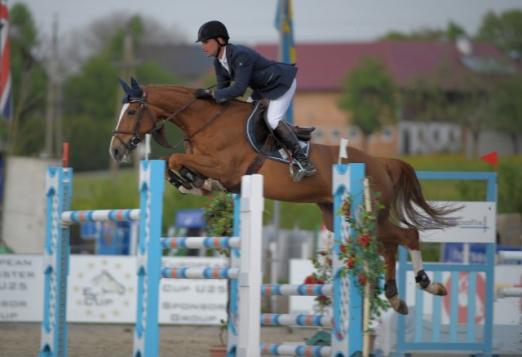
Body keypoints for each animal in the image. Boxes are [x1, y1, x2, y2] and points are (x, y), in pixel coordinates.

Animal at [109, 78, 456, 314]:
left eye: (132, 111)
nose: (115, 151)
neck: (206, 122)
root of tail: (378, 161)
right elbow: (183, 167)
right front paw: (187, 182)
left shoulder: (225, 168)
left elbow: (174, 158)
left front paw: (183, 178)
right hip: (340, 216)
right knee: (390, 244)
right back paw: (396, 298)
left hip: (364, 215)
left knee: (407, 235)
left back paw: (428, 283)